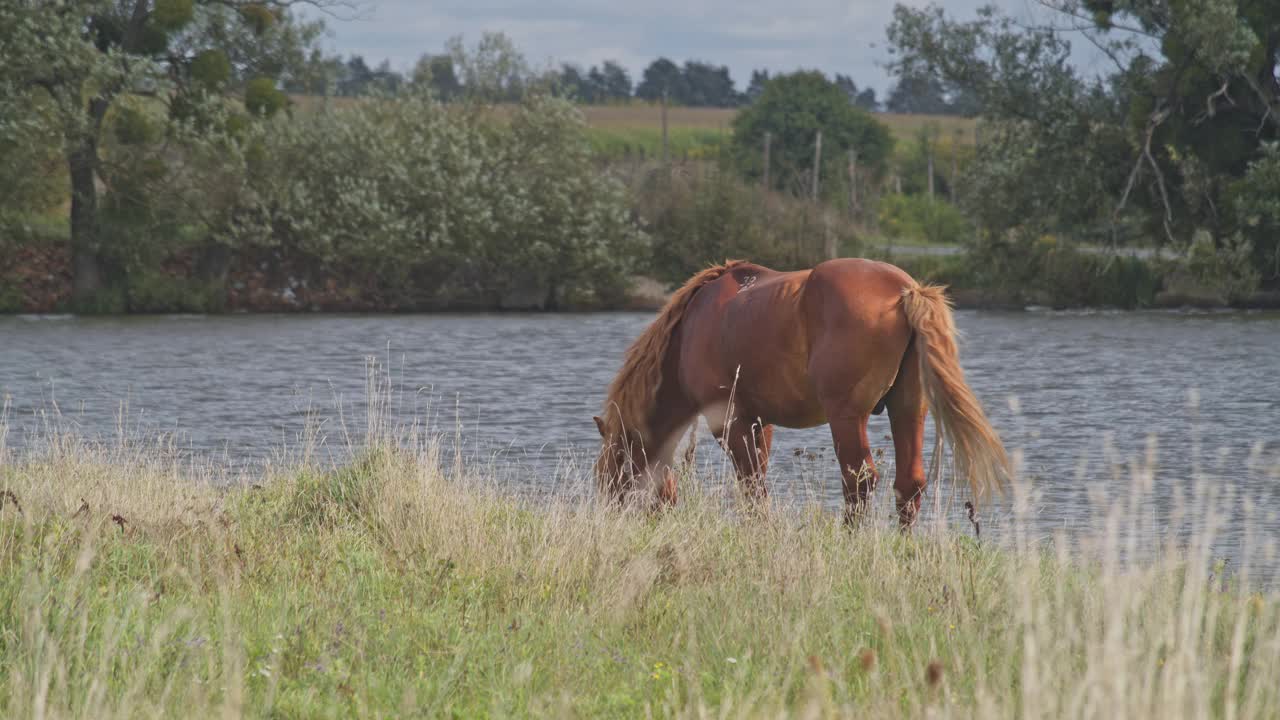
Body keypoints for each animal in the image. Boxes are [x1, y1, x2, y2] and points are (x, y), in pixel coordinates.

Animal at [591, 256, 1008, 520]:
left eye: (614, 470)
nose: (612, 521)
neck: (693, 326)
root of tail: (905, 290)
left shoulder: (730, 422)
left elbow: (752, 488)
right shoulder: (760, 423)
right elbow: (756, 483)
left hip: (846, 416)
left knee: (859, 481)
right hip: (908, 407)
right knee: (909, 484)